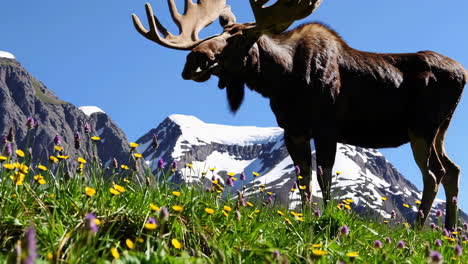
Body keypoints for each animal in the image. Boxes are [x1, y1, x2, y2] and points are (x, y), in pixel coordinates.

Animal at [132, 0, 464, 228]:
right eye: (221, 33)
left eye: (238, 38)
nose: (194, 60)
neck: (283, 81)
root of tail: (463, 74)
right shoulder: (293, 130)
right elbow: (303, 177)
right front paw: (304, 219)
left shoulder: (327, 127)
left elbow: (324, 175)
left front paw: (325, 218)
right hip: (440, 131)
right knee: (453, 169)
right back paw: (448, 232)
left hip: (422, 129)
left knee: (434, 173)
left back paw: (418, 230)